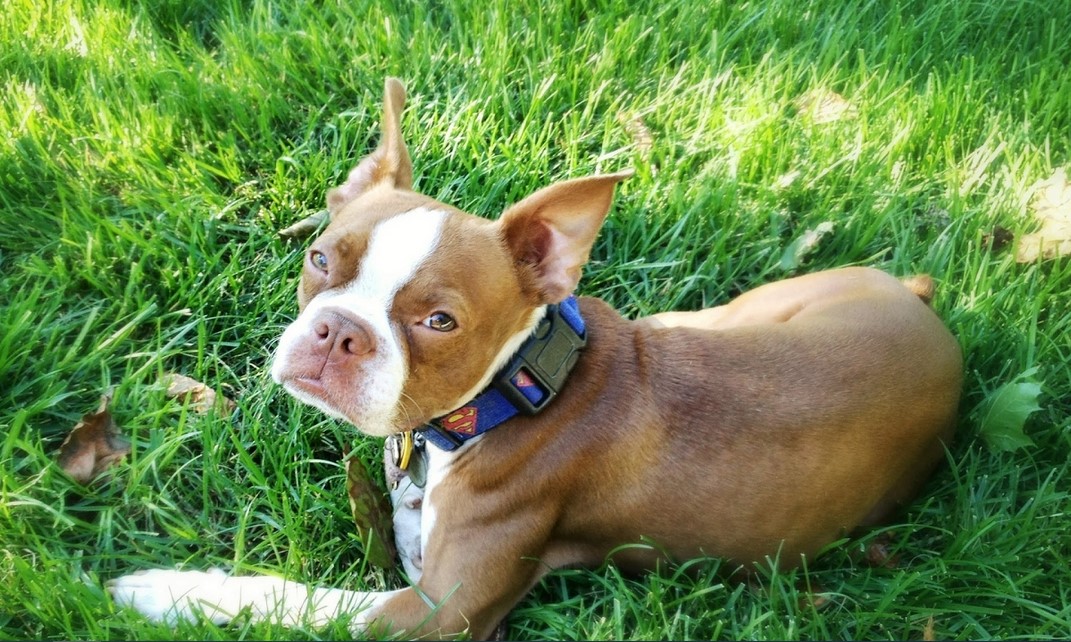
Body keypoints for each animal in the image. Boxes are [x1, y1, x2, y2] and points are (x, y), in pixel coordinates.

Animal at [106, 79, 963, 638]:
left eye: (439, 321)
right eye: (320, 259)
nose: (337, 331)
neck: (509, 395)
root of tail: (918, 301)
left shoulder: (437, 612)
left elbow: (303, 601)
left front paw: (165, 589)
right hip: (743, 310)